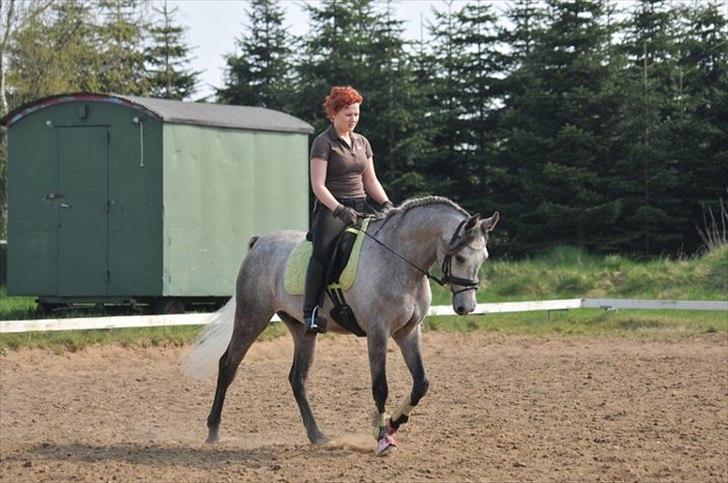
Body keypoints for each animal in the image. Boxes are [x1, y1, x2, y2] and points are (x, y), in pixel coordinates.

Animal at [185, 195, 498, 456]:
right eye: (460, 257)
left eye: (483, 258)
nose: (466, 307)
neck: (400, 261)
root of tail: (260, 242)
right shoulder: (378, 333)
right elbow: (380, 387)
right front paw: (382, 437)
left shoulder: (408, 332)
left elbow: (421, 382)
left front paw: (395, 423)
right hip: (253, 316)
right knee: (228, 364)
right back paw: (213, 431)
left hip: (302, 329)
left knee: (297, 378)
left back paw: (317, 435)